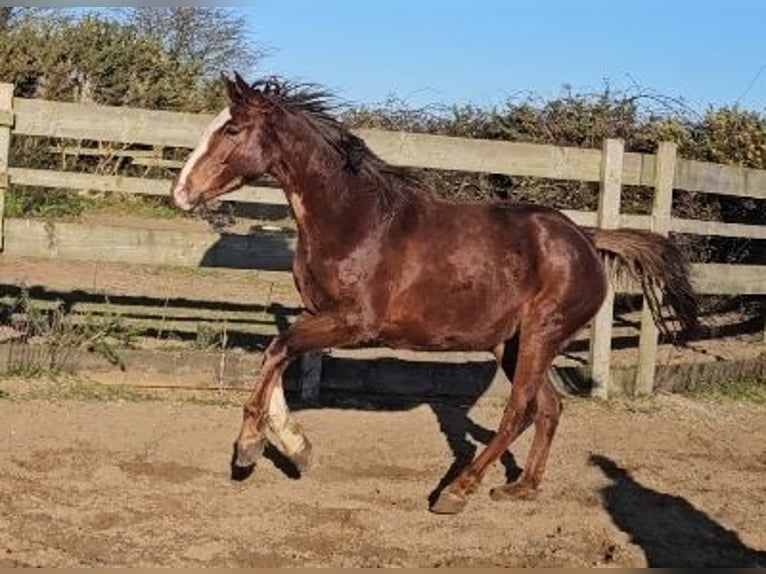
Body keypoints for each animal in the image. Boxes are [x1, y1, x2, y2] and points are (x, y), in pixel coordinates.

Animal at [171, 73, 698, 514]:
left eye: (231, 130)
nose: (181, 192)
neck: (355, 221)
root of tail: (587, 239)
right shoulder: (318, 314)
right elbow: (277, 357)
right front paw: (295, 449)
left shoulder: (354, 323)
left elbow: (277, 350)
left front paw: (248, 448)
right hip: (512, 342)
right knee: (548, 407)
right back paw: (521, 488)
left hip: (541, 334)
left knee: (519, 411)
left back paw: (457, 491)